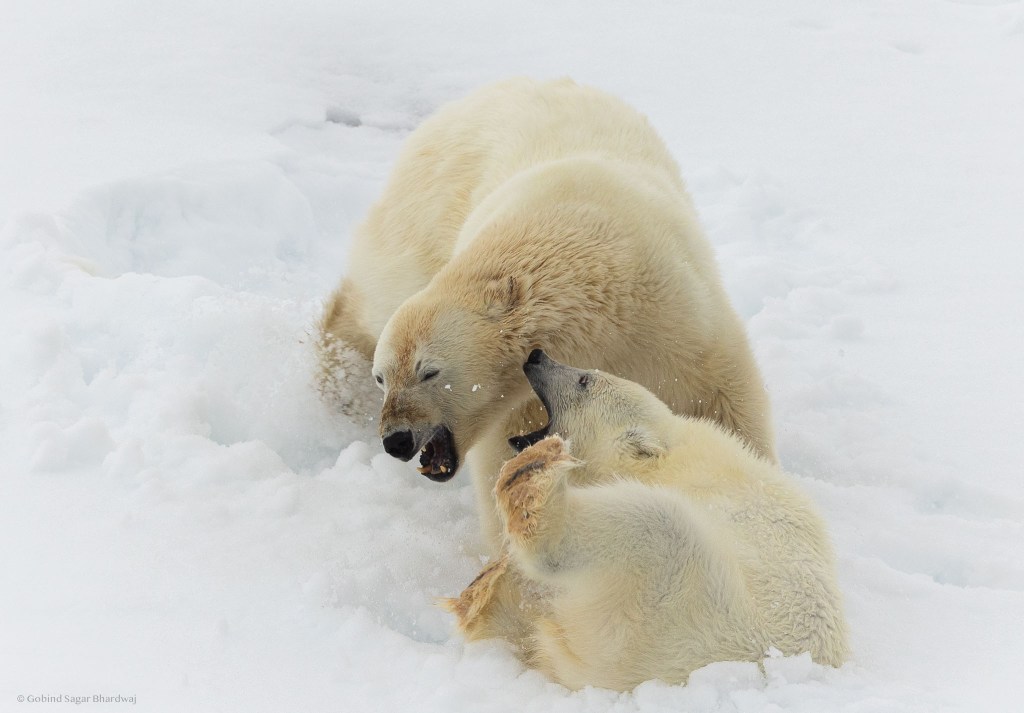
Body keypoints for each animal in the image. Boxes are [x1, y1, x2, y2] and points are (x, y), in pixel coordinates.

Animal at [316, 78, 776, 550]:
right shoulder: (519, 392)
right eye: (383, 377)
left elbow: (720, 401)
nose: (396, 439)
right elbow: (509, 459)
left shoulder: (673, 315)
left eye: (429, 371)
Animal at [442, 350, 848, 691]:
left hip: (690, 603)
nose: (537, 355)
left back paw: (531, 489)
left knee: (654, 524)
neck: (665, 457)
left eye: (585, 379)